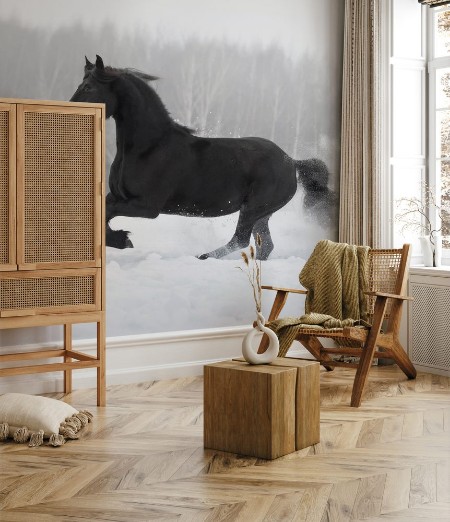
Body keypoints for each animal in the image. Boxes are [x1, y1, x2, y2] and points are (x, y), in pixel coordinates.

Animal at [70, 55, 336, 258]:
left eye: (89, 87)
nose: (72, 109)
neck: (149, 147)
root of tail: (292, 162)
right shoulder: (118, 196)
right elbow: (104, 210)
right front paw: (119, 239)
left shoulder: (146, 205)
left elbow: (107, 211)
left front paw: (122, 239)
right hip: (262, 214)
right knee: (265, 245)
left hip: (253, 209)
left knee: (240, 240)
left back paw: (203, 256)